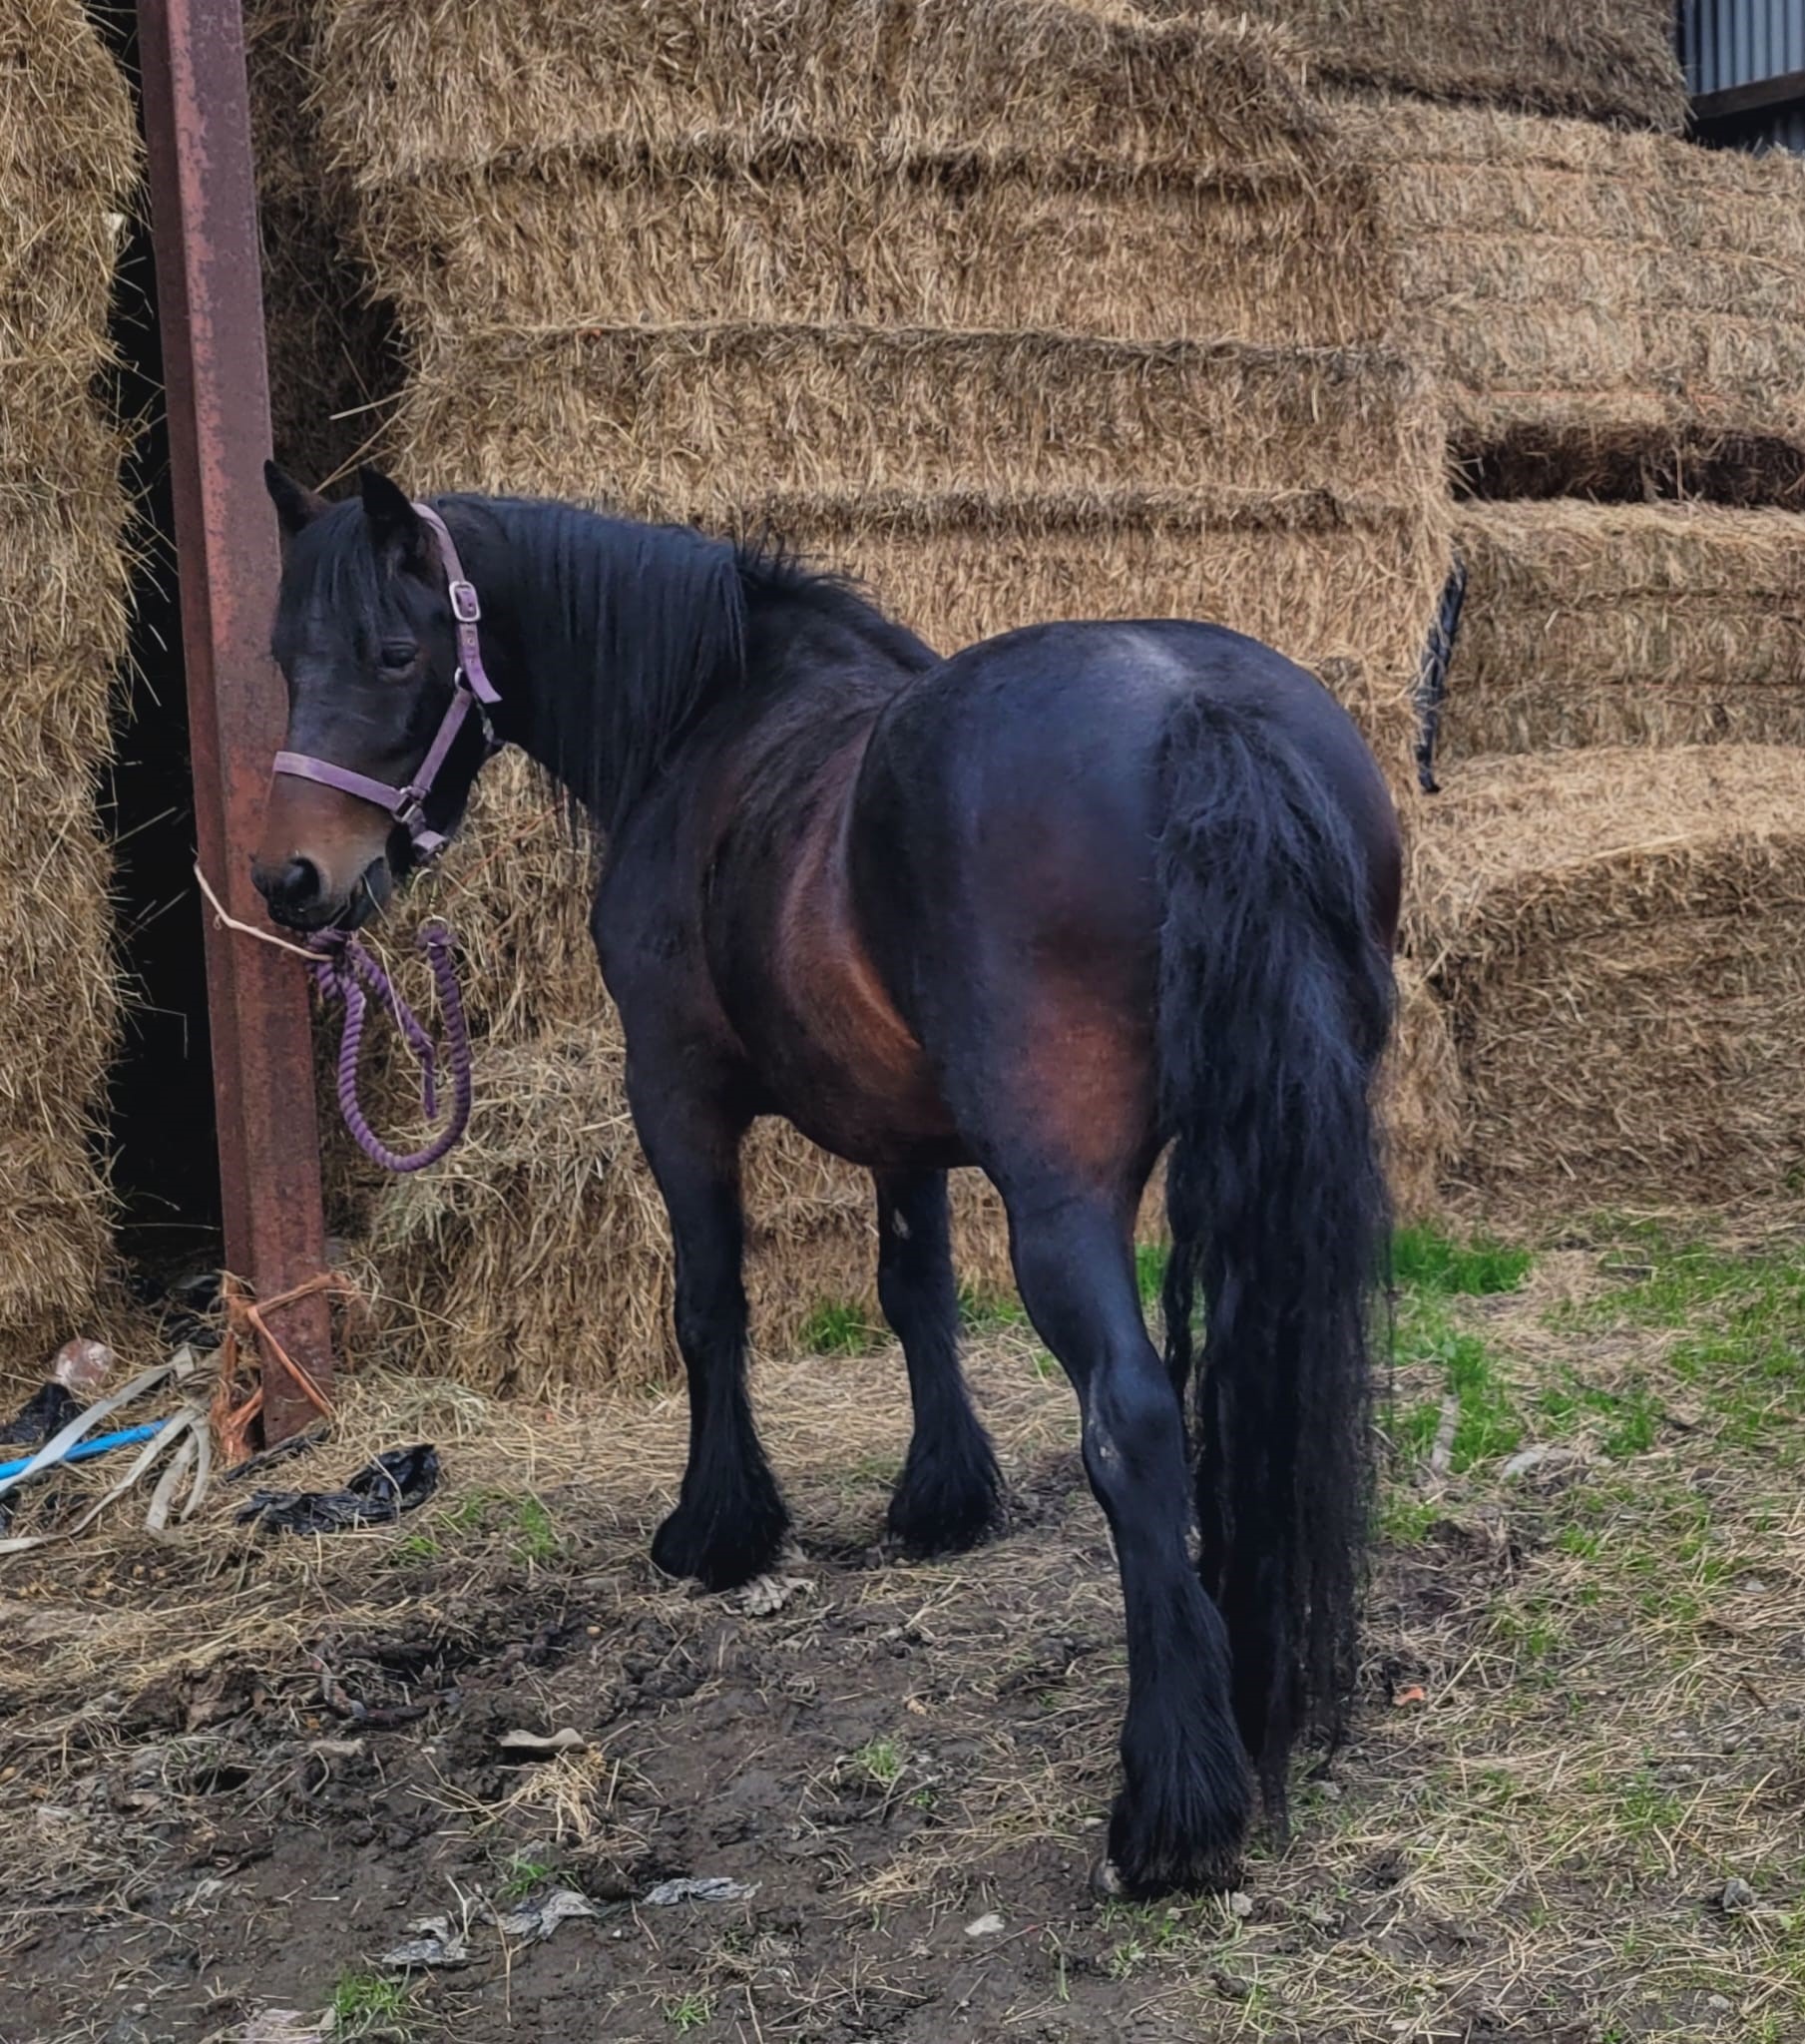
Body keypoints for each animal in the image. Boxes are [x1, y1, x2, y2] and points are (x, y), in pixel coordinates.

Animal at [251, 463, 1400, 1896]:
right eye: (281, 658)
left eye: (396, 654)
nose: (292, 879)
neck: (714, 717)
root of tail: (1198, 710)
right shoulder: (902, 1131)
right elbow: (915, 1294)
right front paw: (943, 1499)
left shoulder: (673, 1096)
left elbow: (709, 1308)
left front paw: (719, 1528)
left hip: (1062, 1199)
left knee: (1131, 1424)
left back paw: (1171, 1810)